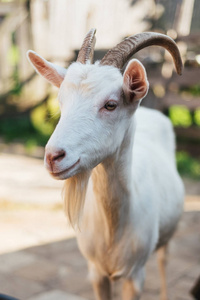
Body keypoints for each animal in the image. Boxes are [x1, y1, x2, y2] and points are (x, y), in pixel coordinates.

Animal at [27, 28, 184, 300]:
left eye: (111, 104)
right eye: (61, 101)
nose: (53, 157)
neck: (115, 225)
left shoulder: (135, 276)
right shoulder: (96, 273)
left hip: (166, 237)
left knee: (164, 261)